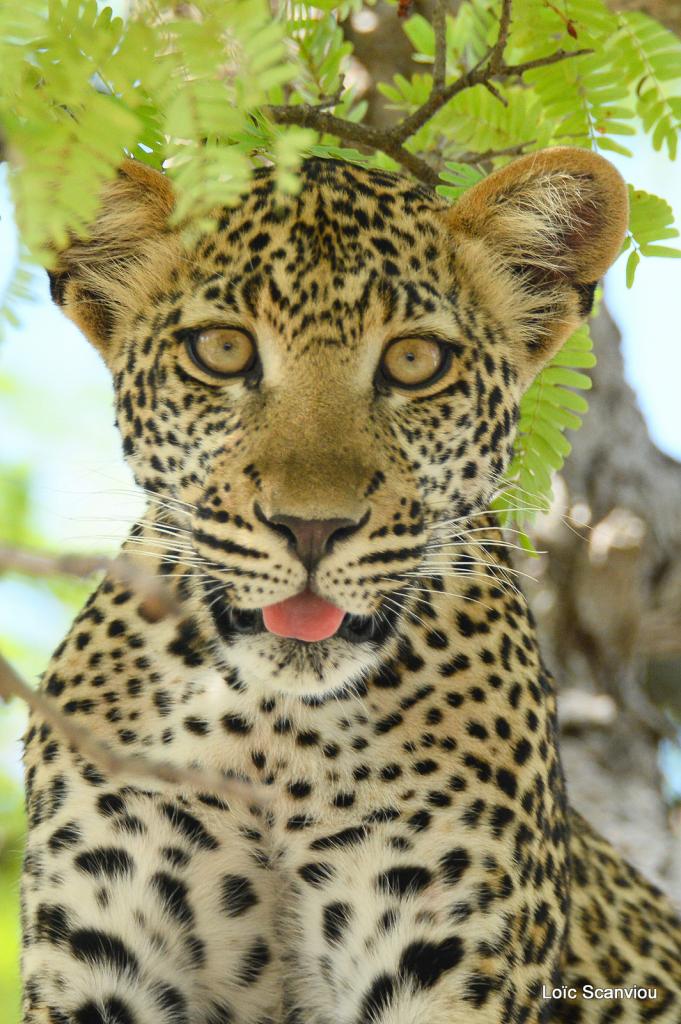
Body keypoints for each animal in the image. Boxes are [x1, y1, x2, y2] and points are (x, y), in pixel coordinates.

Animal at [19, 146, 679, 1024]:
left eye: (414, 361)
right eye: (221, 350)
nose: (310, 527)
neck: (268, 736)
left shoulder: (442, 961)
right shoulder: (101, 956)